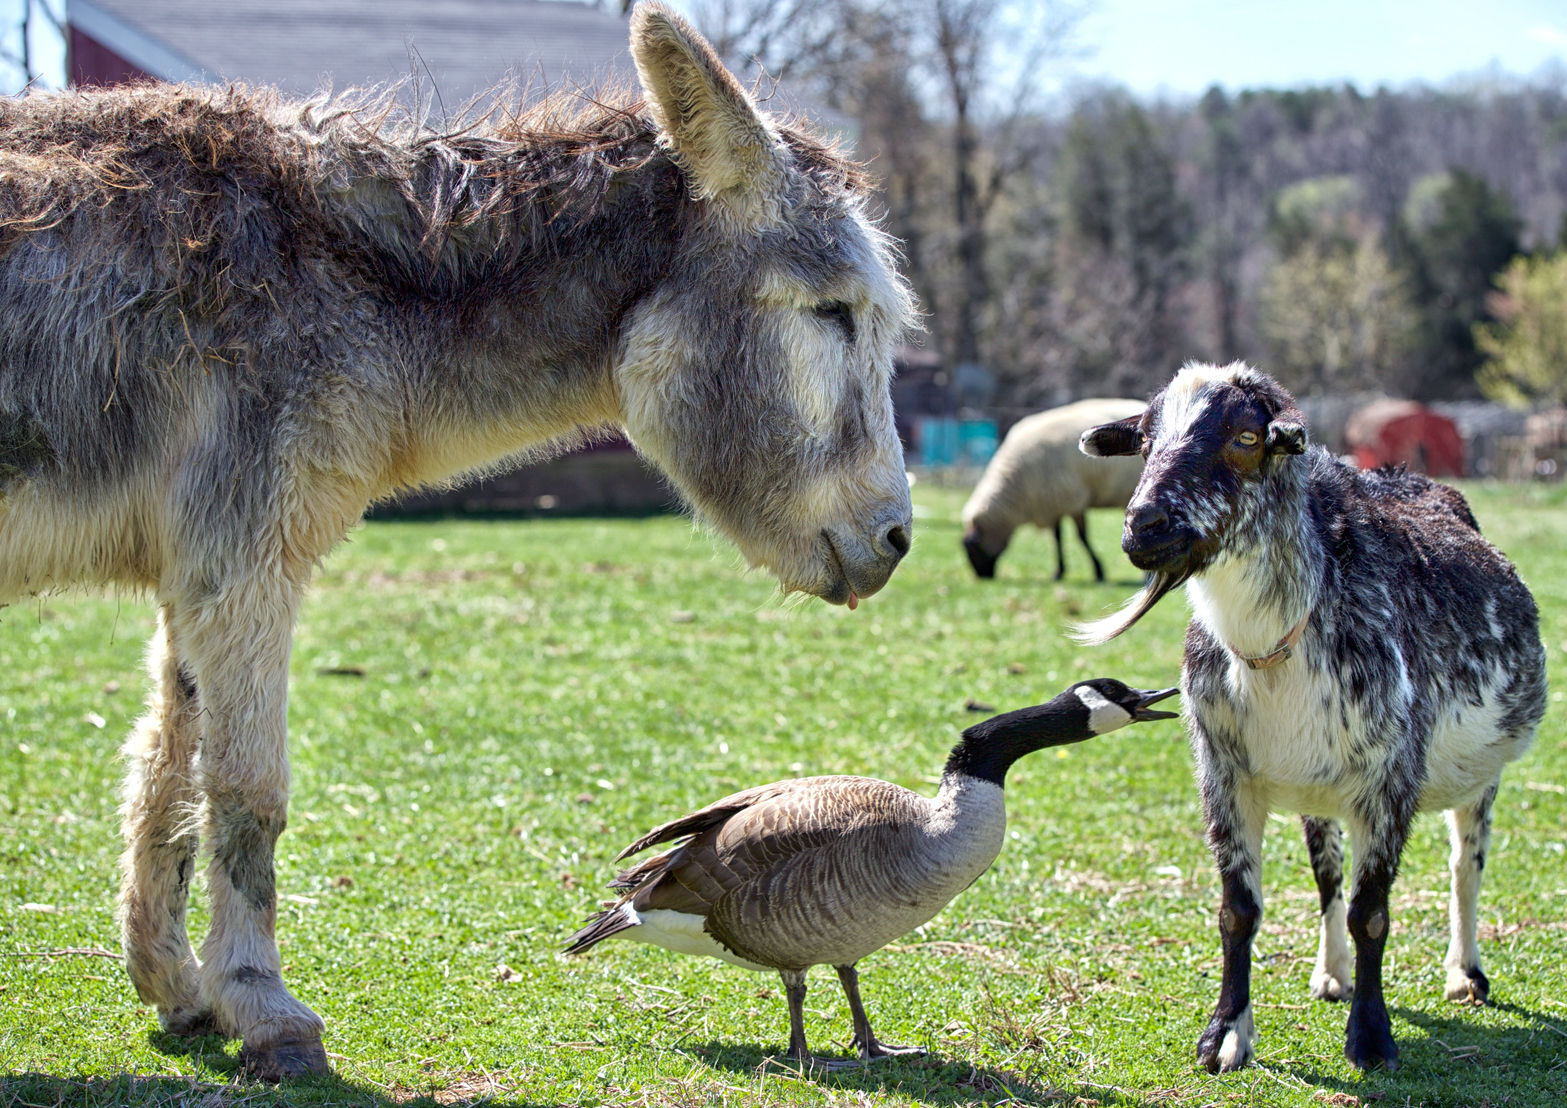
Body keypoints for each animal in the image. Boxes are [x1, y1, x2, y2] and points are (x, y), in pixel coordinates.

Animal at [0, 0, 915, 1071]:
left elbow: (164, 771)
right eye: (832, 312)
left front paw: (177, 988)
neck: (351, 276)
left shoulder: (196, 571)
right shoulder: (245, 560)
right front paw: (262, 1005)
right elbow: (245, 790)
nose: (897, 538)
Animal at [564, 677, 1178, 1065]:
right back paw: (802, 1054)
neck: (930, 829)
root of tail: (644, 887)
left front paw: (877, 1048)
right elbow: (799, 987)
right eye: (1118, 692)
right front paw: (809, 1058)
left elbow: (851, 981)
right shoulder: (800, 935)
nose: (1162, 697)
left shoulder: (849, 934)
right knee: (791, 987)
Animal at [959, 404, 1147, 586]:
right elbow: (1057, 538)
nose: (983, 577)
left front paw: (1098, 571)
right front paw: (1059, 572)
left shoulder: (1072, 500)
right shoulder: (1052, 503)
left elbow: (1082, 537)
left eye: (973, 550)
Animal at [1078, 363, 1541, 1071]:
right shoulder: (1226, 776)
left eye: (1245, 437)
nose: (1144, 525)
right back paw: (1333, 973)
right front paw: (1225, 1034)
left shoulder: (1389, 782)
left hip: (1483, 774)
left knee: (1467, 863)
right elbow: (1239, 911)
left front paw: (1371, 1038)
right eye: (1147, 438)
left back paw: (1465, 973)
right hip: (1315, 791)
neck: (1276, 646)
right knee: (1328, 876)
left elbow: (1372, 913)